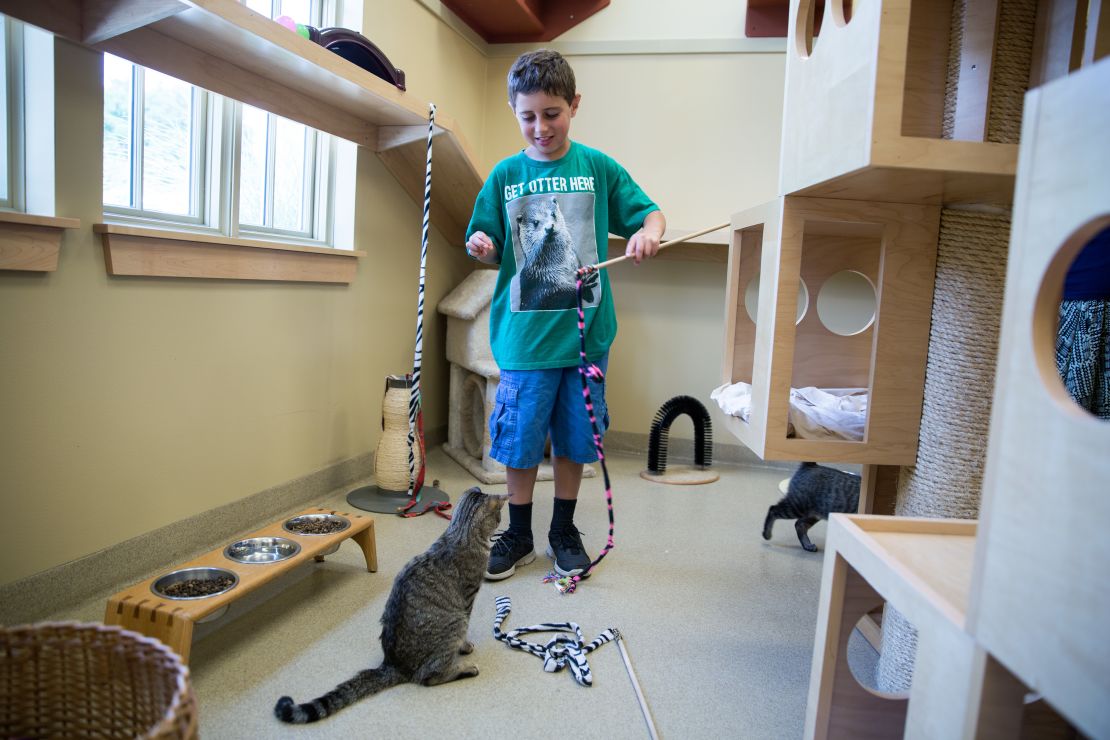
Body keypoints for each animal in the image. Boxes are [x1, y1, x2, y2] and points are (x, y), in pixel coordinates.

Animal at [274, 485, 508, 723]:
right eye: (498, 516)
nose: (501, 523)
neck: (460, 532)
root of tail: (392, 665)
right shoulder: (468, 599)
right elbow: (465, 632)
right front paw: (466, 646)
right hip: (455, 623)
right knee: (428, 677)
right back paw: (465, 669)